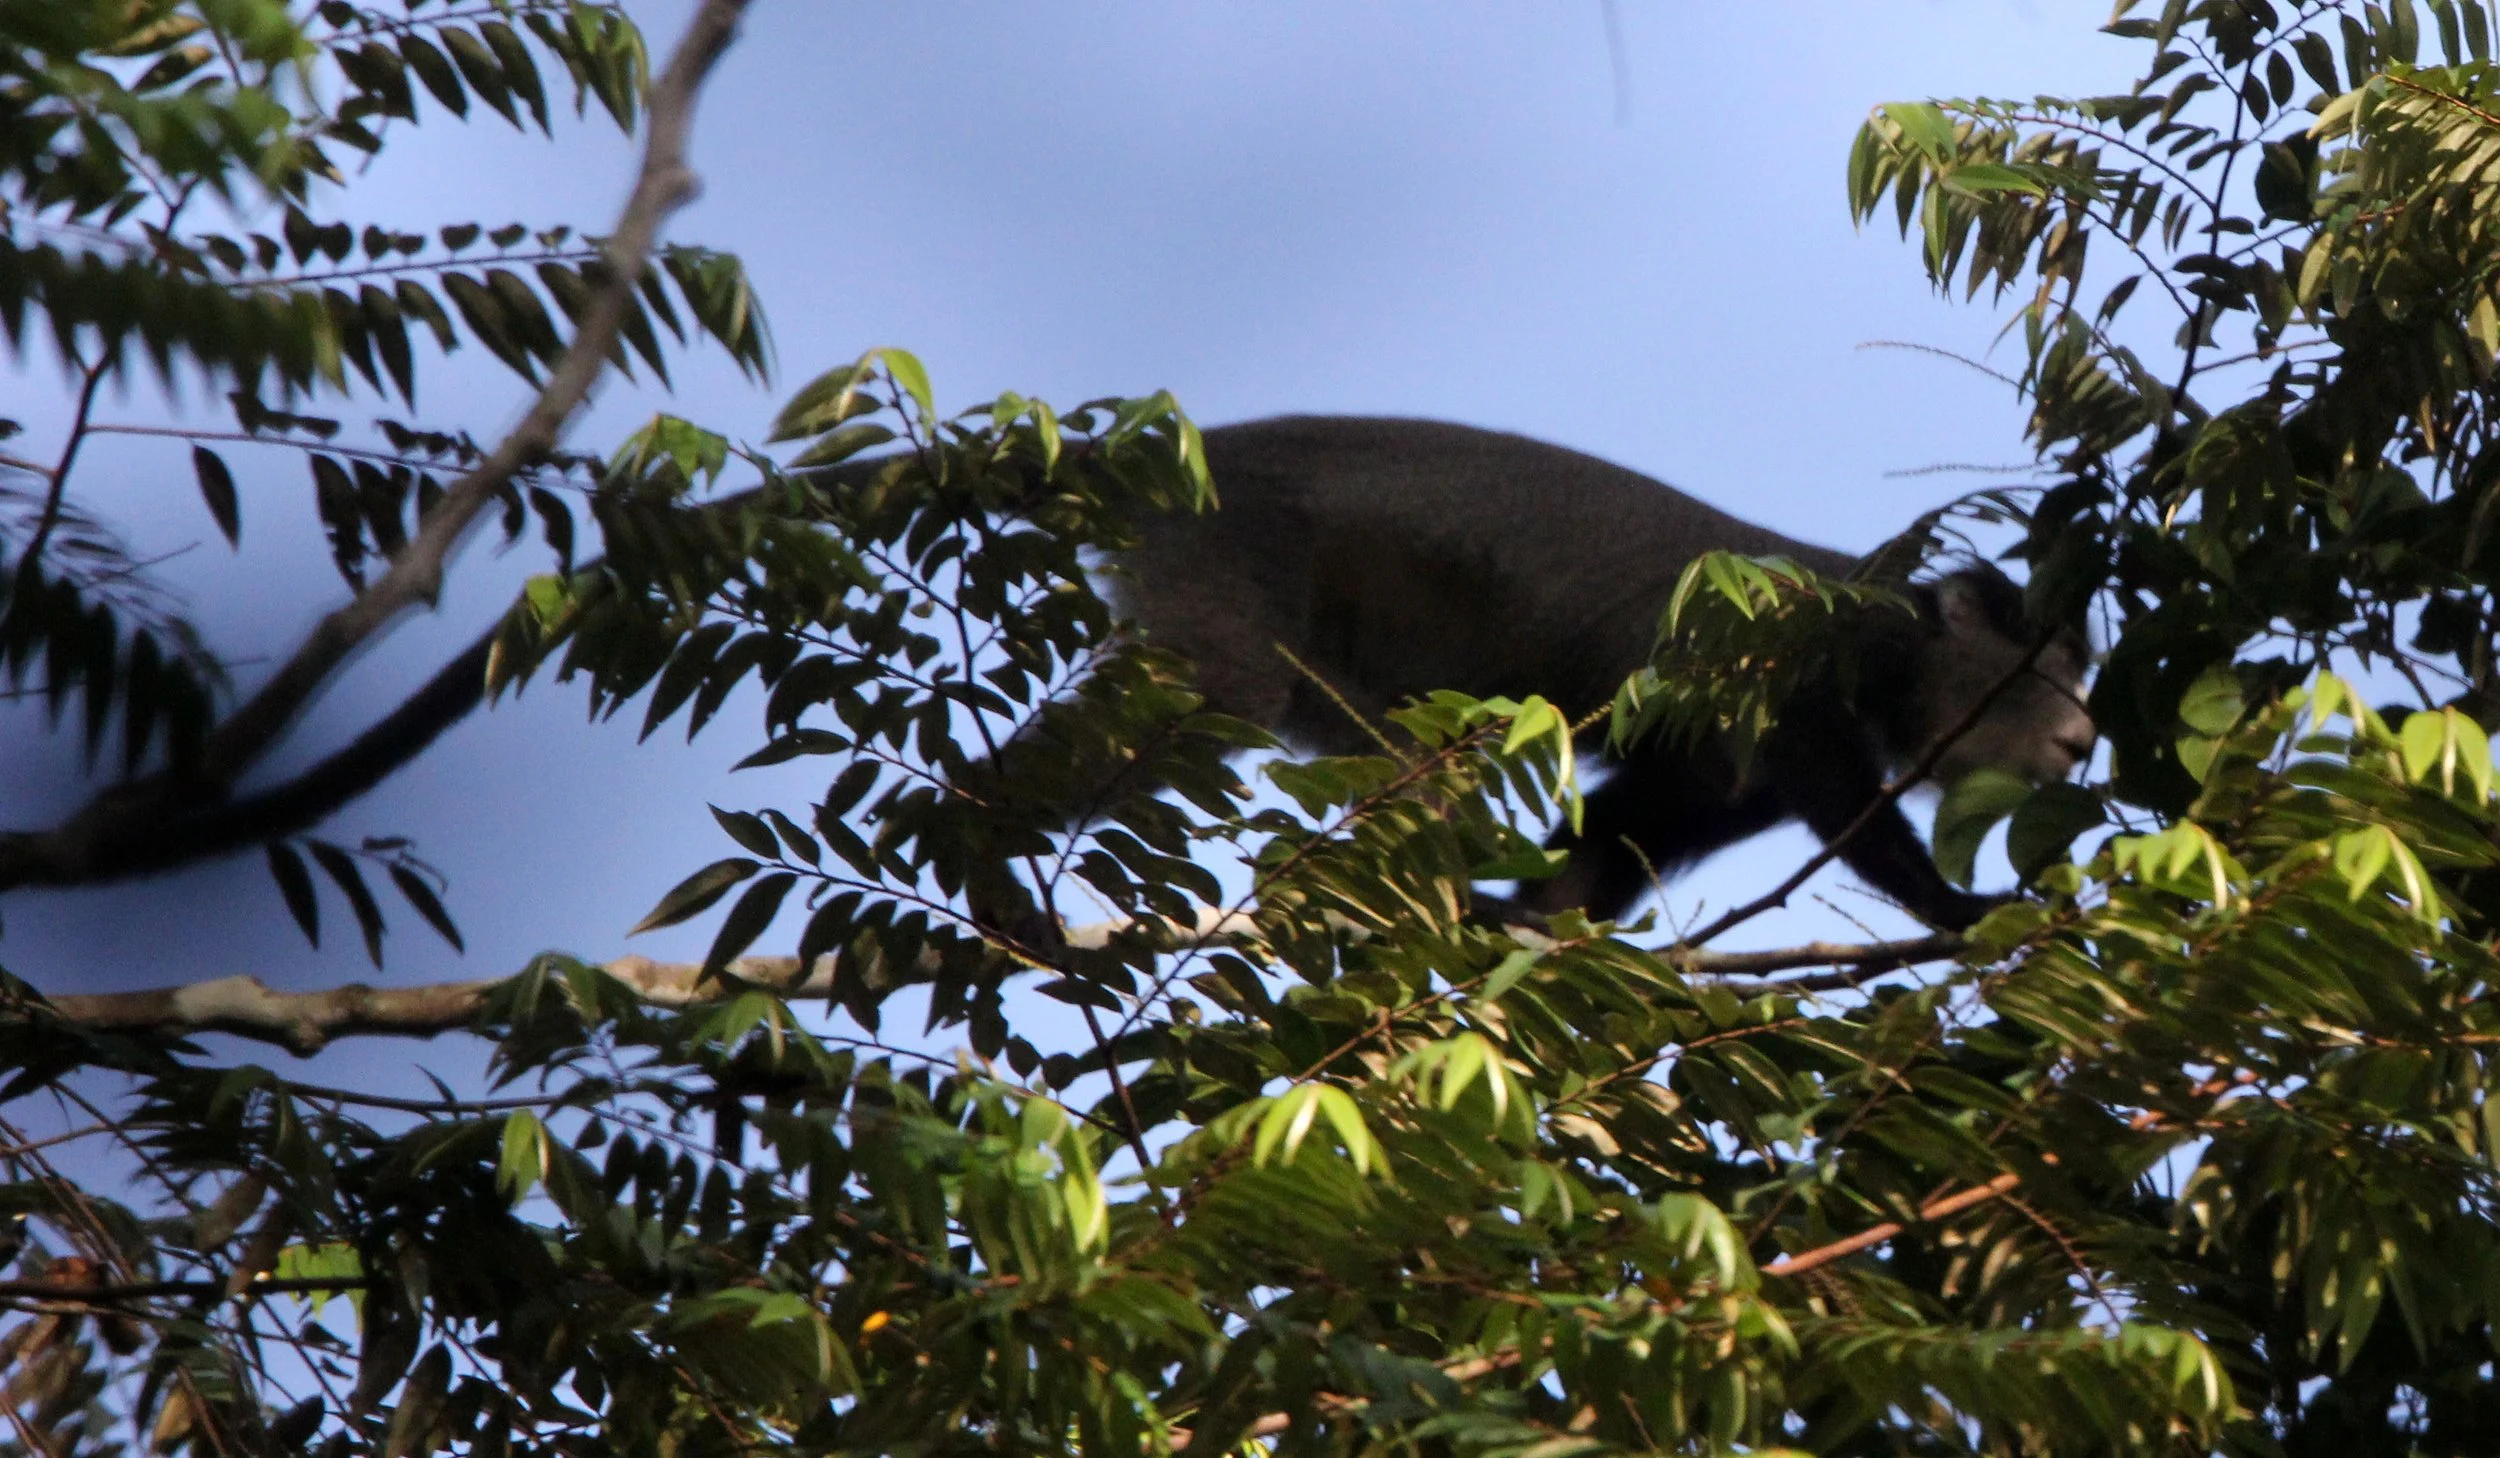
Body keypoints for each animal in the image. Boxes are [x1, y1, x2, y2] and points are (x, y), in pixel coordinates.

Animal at [1109, 415, 2096, 930]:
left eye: (2084, 673)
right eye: (2047, 671)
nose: (2085, 734)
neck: (1907, 663)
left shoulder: (1732, 783)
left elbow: (1626, 830)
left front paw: (1540, 923)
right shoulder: (1821, 656)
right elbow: (1830, 785)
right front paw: (1958, 909)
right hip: (1226, 550)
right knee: (1224, 692)